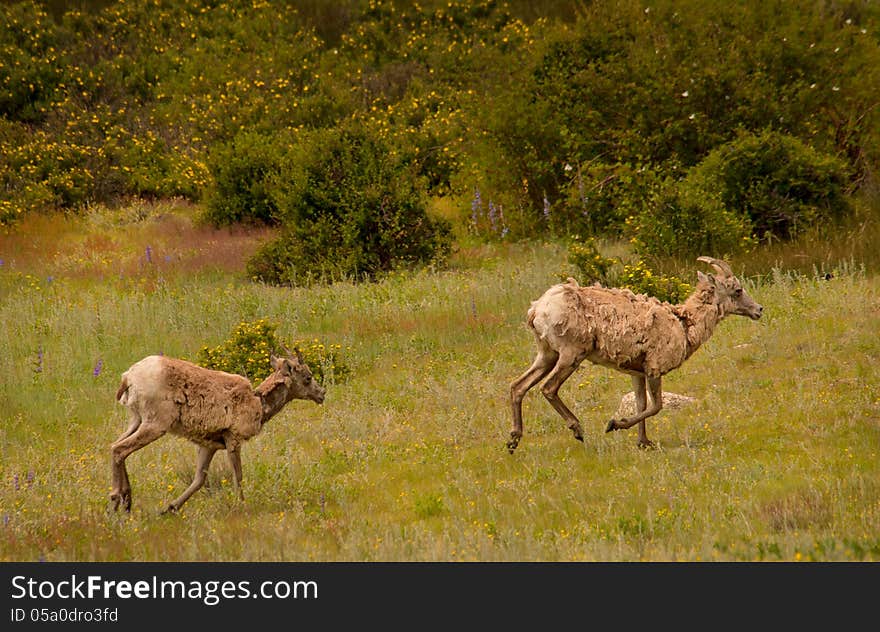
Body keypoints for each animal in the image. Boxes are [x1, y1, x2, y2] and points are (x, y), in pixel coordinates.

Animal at [111, 350, 324, 512]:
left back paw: (124, 501)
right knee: (120, 450)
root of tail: (127, 378)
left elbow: (199, 479)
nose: (322, 393)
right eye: (308, 377)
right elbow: (238, 476)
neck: (259, 404)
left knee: (114, 446)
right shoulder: (233, 439)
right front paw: (242, 504)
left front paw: (170, 508)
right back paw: (118, 500)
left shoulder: (209, 445)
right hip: (155, 424)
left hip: (135, 420)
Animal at [508, 254, 764, 452]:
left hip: (547, 354)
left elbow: (641, 404)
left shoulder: (637, 373)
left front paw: (644, 443)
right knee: (548, 388)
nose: (759, 310)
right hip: (571, 354)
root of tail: (537, 310)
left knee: (518, 386)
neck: (684, 324)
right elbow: (656, 406)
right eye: (738, 290)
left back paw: (513, 440)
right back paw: (578, 430)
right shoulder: (654, 368)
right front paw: (613, 424)